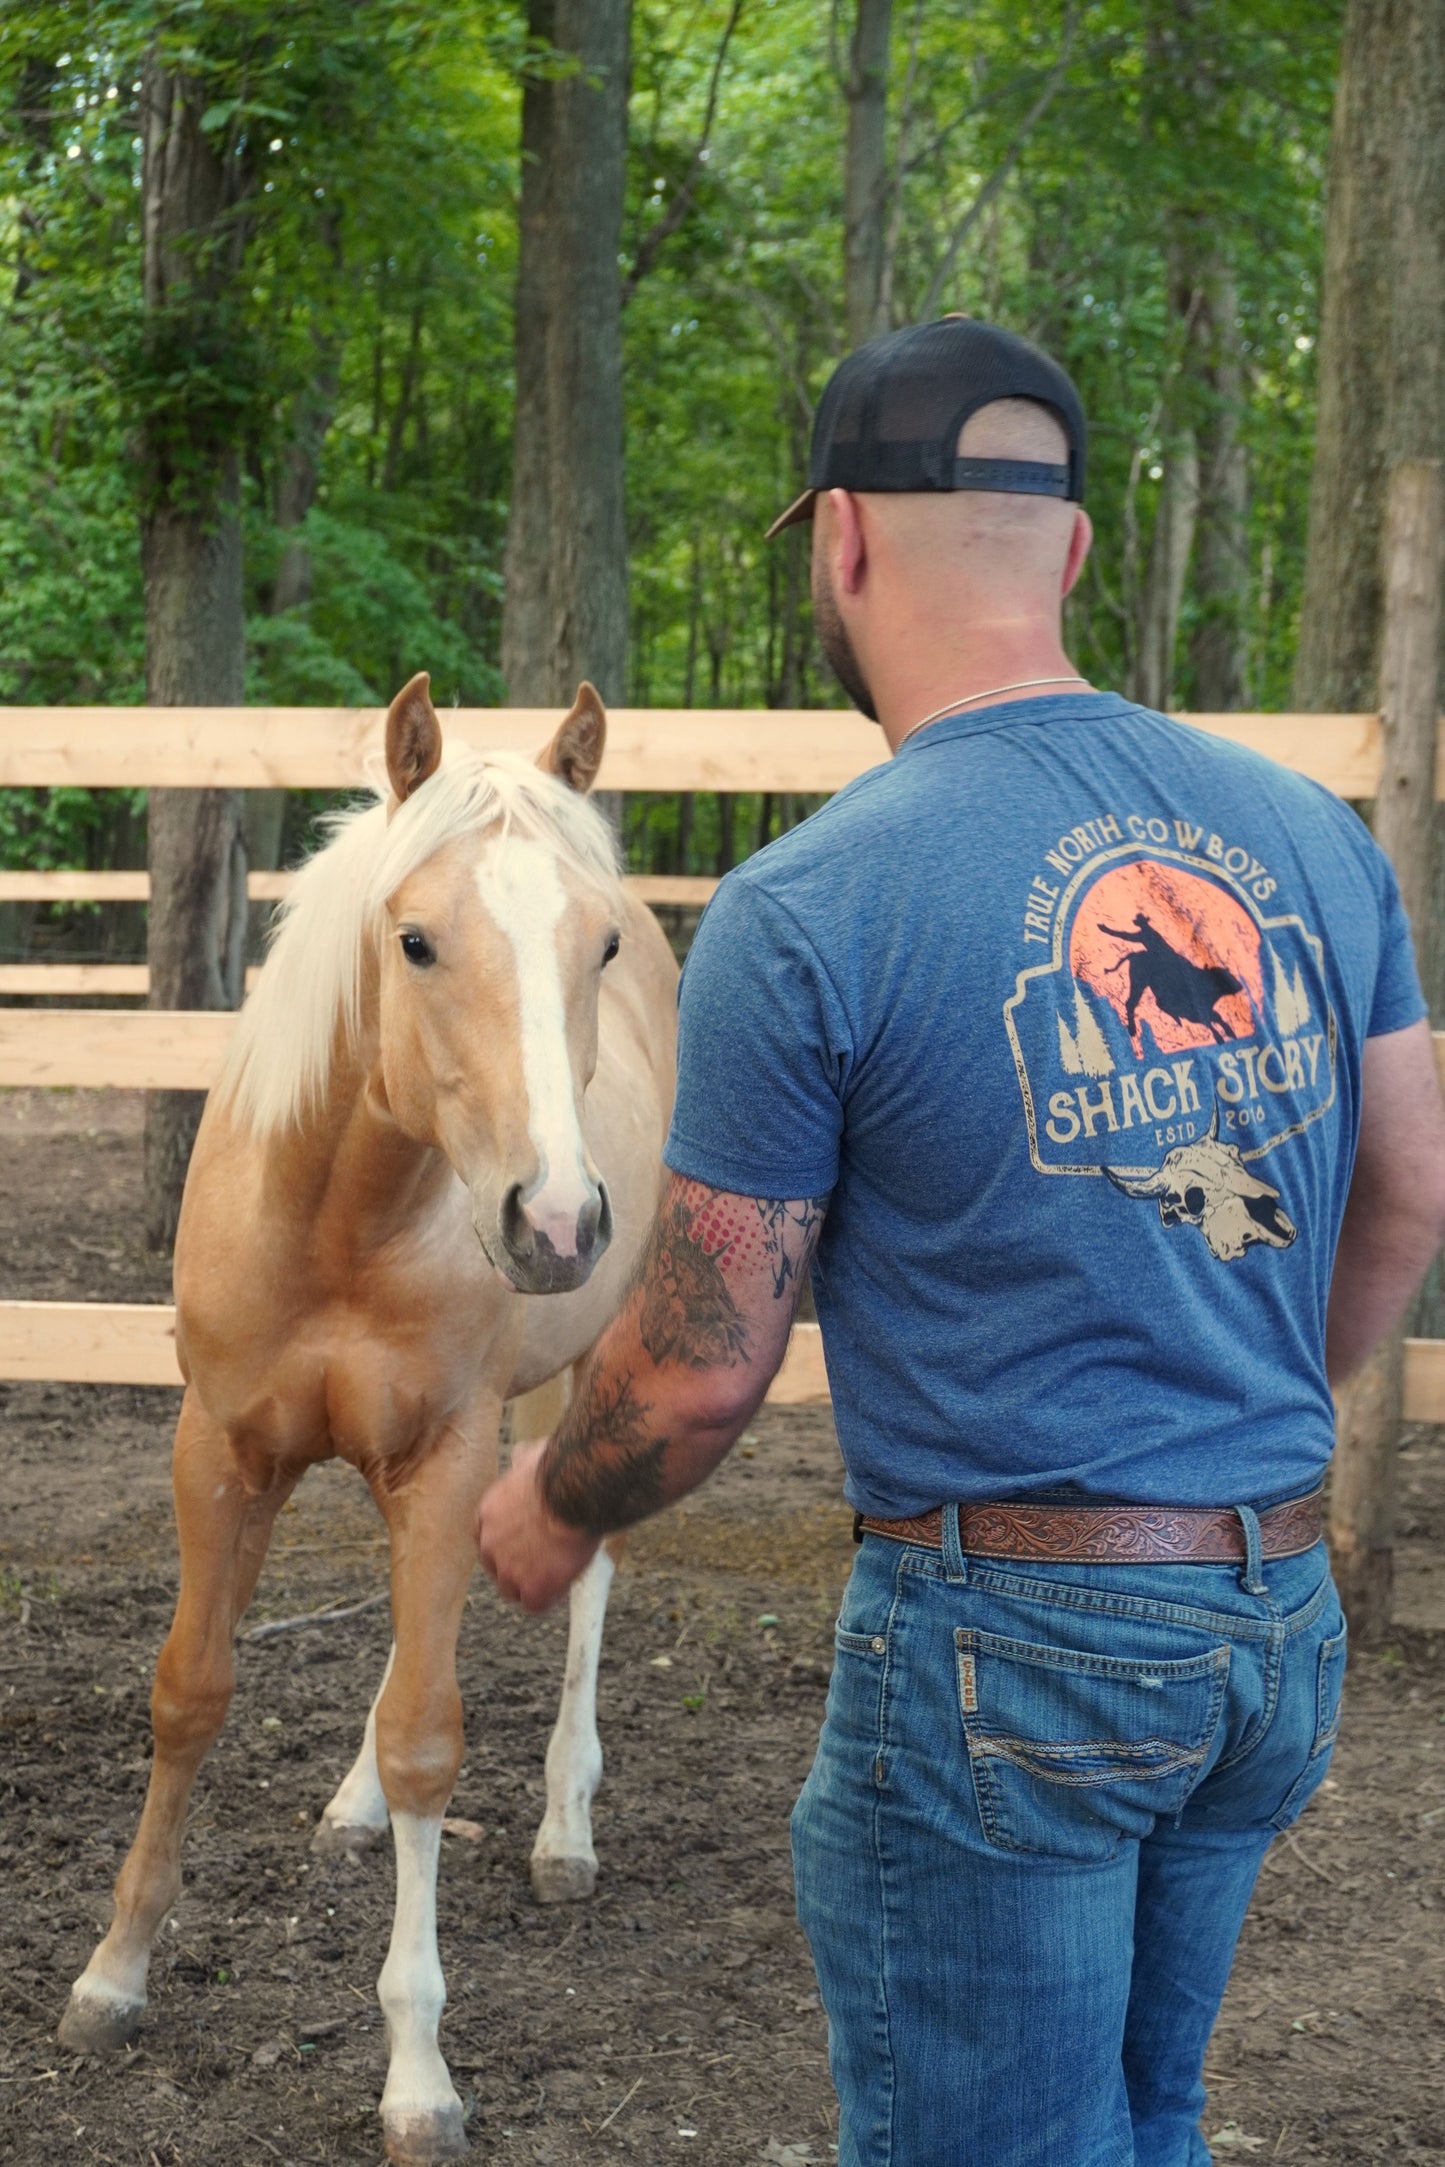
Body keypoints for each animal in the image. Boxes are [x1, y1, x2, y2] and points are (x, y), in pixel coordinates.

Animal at [59, 671, 680, 2149]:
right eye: (415, 940)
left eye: (598, 944)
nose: (554, 1222)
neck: (339, 1217)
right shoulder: (220, 1448)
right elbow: (189, 1690)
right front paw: (112, 1972)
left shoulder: (445, 1458)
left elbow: (425, 1738)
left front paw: (417, 2072)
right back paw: (348, 1805)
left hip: (597, 1359)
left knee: (586, 1575)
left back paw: (565, 1829)